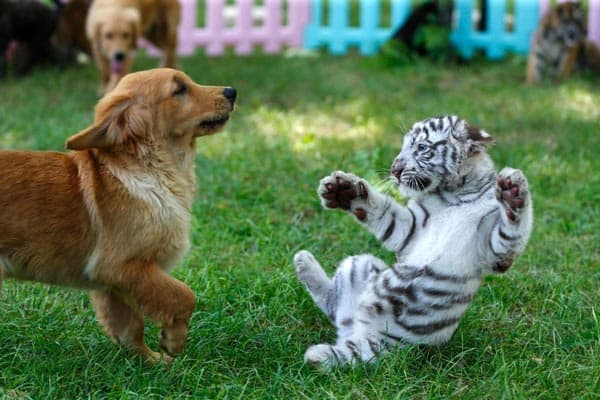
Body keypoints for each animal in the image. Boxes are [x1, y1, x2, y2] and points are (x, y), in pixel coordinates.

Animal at [0, 69, 239, 362]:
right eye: (179, 89)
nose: (231, 91)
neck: (151, 168)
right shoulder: (121, 265)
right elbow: (183, 295)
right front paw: (173, 341)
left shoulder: (112, 283)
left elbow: (129, 328)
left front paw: (150, 361)